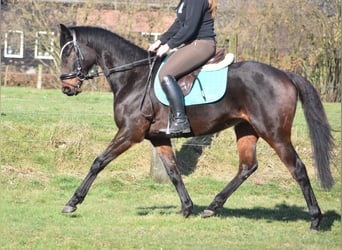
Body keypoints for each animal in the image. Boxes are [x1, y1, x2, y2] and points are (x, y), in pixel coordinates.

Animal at [58, 24, 334, 229]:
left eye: (68, 53)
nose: (66, 88)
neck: (133, 78)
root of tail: (285, 75)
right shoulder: (159, 138)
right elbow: (173, 172)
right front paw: (187, 208)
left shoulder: (130, 133)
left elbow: (98, 162)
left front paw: (72, 202)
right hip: (247, 129)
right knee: (247, 167)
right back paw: (212, 207)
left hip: (275, 133)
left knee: (297, 168)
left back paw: (315, 219)